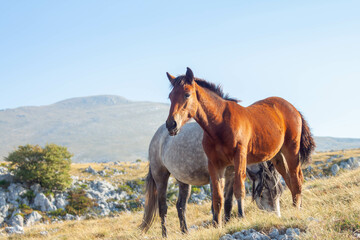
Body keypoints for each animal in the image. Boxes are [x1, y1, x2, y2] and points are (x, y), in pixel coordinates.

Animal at [139, 122, 282, 236]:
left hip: (183, 181)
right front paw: (216, 225)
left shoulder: (230, 175)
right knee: (163, 208)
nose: (276, 216)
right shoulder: (215, 175)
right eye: (263, 193)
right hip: (161, 177)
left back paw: (185, 232)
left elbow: (229, 201)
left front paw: (227, 223)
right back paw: (165, 234)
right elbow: (216, 203)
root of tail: (157, 135)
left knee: (180, 206)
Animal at [165, 67, 314, 227]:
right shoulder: (215, 164)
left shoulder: (239, 158)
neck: (220, 124)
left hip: (291, 151)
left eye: (187, 94)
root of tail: (293, 108)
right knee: (289, 179)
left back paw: (297, 209)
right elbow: (218, 197)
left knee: (296, 178)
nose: (171, 125)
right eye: (170, 96)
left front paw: (241, 217)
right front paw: (217, 225)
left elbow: (238, 188)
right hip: (277, 157)